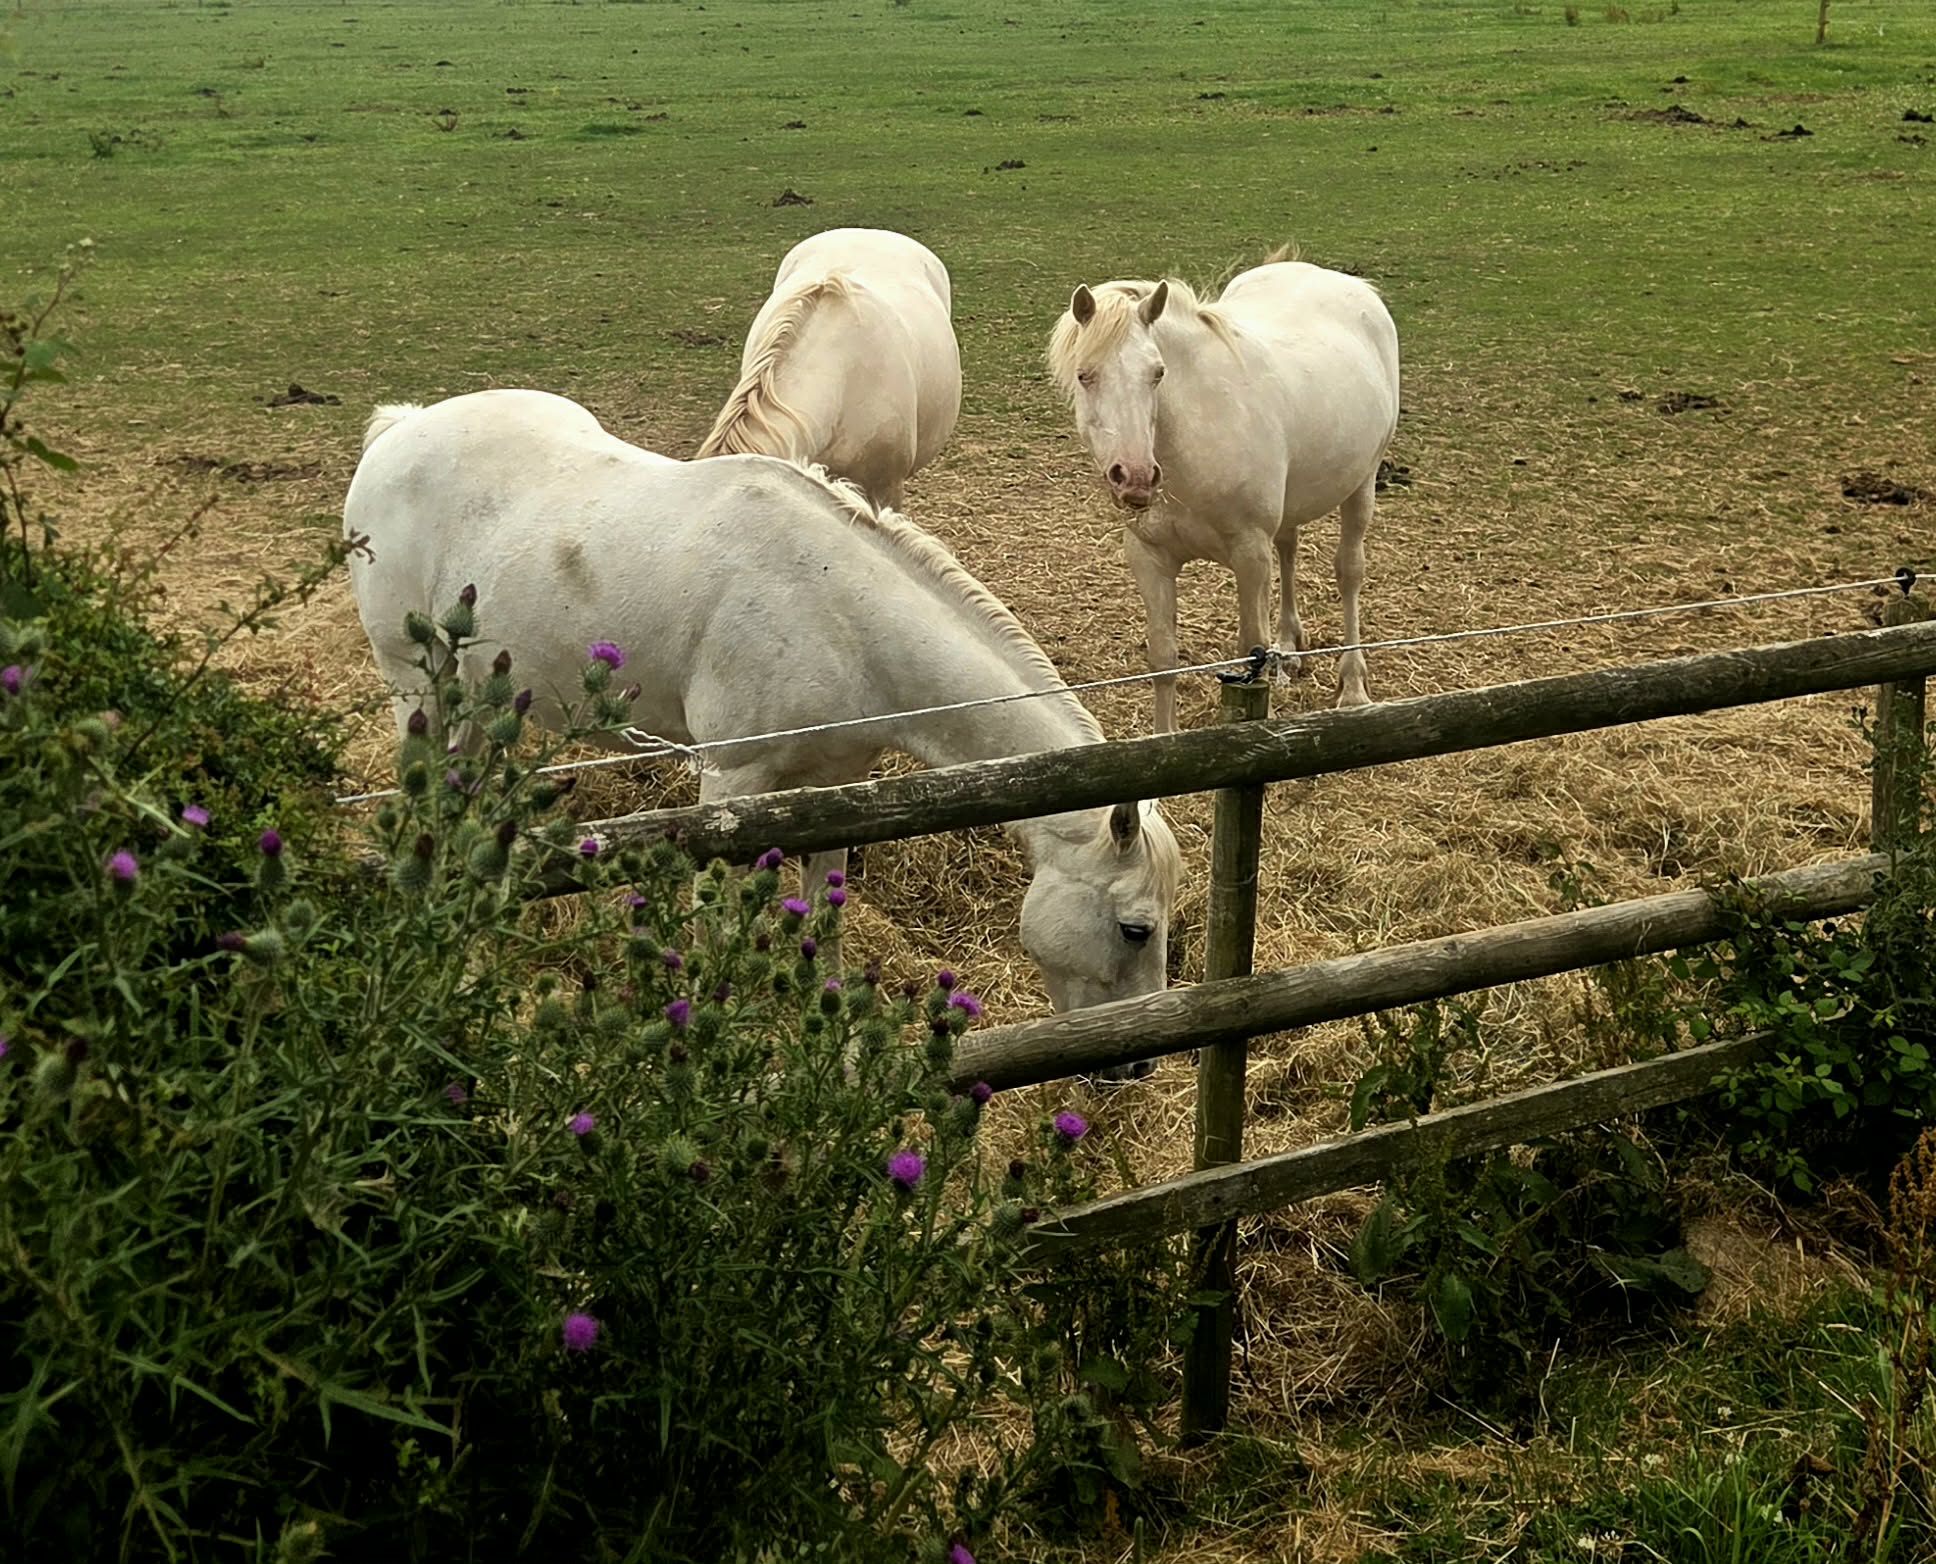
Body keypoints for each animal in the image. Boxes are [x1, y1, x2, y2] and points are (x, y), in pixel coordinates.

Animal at [344, 389, 1181, 1034]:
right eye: (1135, 929)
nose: (1135, 1062)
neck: (838, 613)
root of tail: (401, 430)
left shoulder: (836, 789)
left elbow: (827, 917)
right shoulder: (732, 781)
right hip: (419, 685)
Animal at [1047, 258, 1401, 732]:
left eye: (1158, 373)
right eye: (1085, 374)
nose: (1136, 478)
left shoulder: (1249, 554)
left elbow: (1250, 654)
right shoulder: (1149, 556)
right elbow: (1163, 658)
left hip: (1361, 484)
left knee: (1349, 573)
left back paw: (1354, 687)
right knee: (1288, 548)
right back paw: (1289, 651)